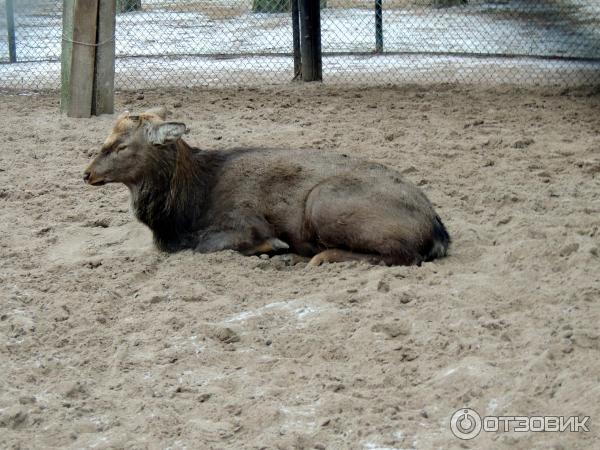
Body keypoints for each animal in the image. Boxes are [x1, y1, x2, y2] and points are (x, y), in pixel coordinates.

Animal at [83, 107, 450, 266]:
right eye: (106, 139)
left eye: (121, 146)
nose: (87, 174)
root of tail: (437, 231)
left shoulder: (245, 219)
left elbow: (210, 245)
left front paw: (273, 245)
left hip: (323, 202)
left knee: (402, 255)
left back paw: (321, 256)